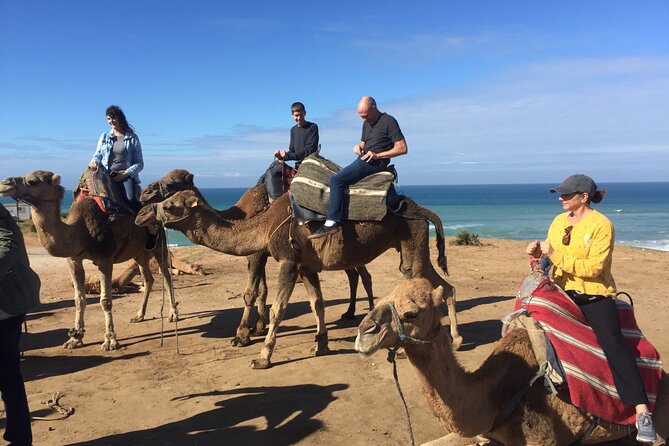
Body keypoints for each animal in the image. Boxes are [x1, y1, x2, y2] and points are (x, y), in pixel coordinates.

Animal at [0, 170, 177, 348]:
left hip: (159, 246)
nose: (5, 184)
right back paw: (139, 315)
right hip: (138, 253)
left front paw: (110, 340)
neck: (80, 230)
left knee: (167, 277)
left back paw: (173, 314)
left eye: (33, 181)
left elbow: (105, 300)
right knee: (148, 279)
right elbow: (79, 299)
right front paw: (75, 338)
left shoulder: (105, 259)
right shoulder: (73, 260)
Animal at [135, 190, 460, 368]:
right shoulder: (307, 267)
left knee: (434, 284)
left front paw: (262, 357)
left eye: (170, 205)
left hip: (413, 242)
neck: (264, 224)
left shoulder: (288, 261)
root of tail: (423, 210)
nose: (141, 214)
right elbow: (318, 304)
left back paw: (445, 340)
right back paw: (449, 338)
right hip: (411, 247)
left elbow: (278, 310)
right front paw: (321, 345)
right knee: (443, 286)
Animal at [138, 167, 376, 344]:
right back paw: (350, 312)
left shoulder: (258, 254)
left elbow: (251, 292)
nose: (143, 194)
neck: (241, 216)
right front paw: (260, 327)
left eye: (171, 183)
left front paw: (242, 334)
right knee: (355, 275)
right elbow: (262, 290)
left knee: (364, 276)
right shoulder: (254, 254)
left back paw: (366, 313)